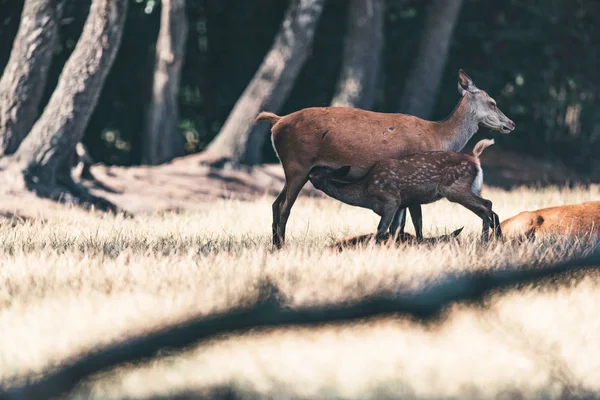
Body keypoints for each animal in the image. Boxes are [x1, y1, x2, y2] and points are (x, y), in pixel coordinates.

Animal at [310, 138, 502, 244]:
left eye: (315, 173)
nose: (308, 173)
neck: (365, 192)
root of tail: (475, 158)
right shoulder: (402, 203)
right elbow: (396, 230)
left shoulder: (391, 200)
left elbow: (381, 230)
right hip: (471, 188)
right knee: (489, 209)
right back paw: (498, 240)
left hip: (454, 188)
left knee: (487, 205)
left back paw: (485, 242)